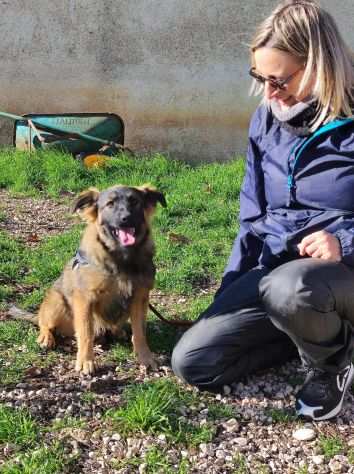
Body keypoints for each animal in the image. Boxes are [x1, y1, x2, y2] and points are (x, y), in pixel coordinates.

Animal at [36, 185, 166, 374]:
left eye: (134, 201)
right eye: (110, 204)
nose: (125, 219)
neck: (122, 259)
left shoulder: (139, 297)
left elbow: (140, 332)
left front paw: (145, 357)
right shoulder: (85, 299)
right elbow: (85, 333)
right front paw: (85, 361)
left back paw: (119, 332)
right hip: (57, 303)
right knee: (44, 322)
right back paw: (46, 337)